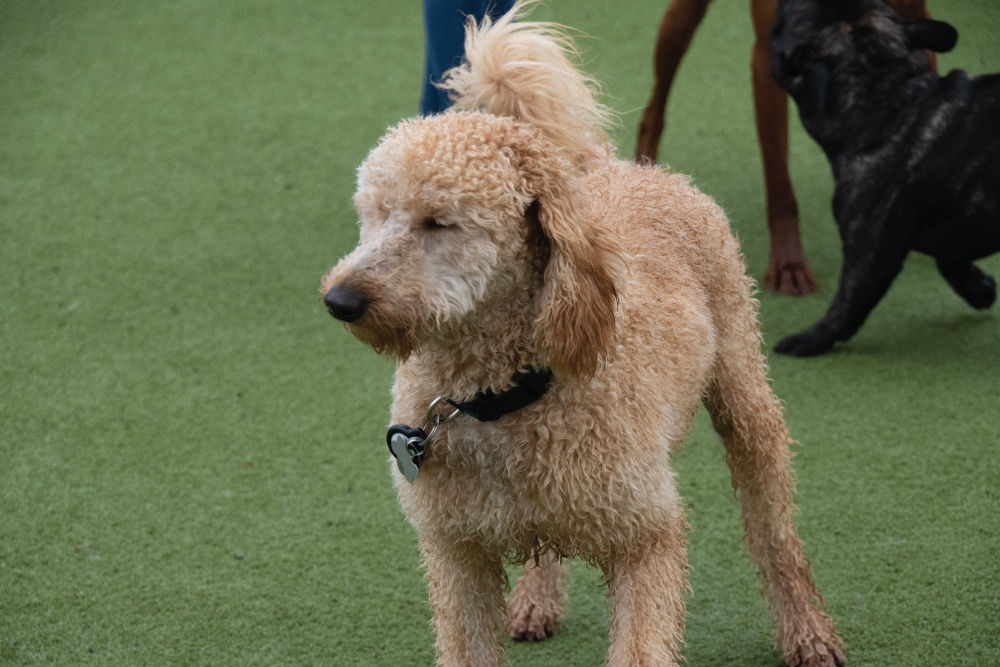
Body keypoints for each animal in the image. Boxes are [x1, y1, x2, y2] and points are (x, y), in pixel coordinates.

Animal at [320, 2, 844, 664]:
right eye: (373, 216)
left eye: (439, 222)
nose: (339, 300)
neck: (500, 398)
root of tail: (615, 166)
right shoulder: (455, 553)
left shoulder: (647, 536)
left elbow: (643, 643)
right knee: (544, 544)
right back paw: (536, 599)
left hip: (745, 394)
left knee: (774, 532)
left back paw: (808, 630)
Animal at [768, 0, 996, 354]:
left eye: (783, 25)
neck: (889, 97)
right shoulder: (960, 222)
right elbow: (950, 257)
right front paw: (980, 288)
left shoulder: (870, 250)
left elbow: (846, 302)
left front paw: (809, 340)